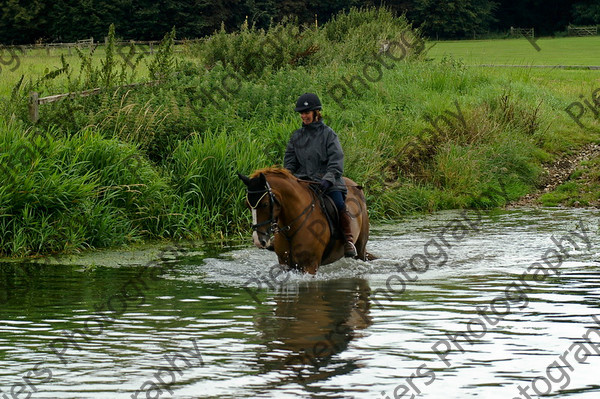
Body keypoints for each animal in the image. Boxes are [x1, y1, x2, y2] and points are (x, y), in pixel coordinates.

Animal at [239, 168, 370, 276]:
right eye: (247, 205)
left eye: (265, 204)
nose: (258, 240)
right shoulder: (285, 264)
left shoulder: (310, 266)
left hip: (360, 247)